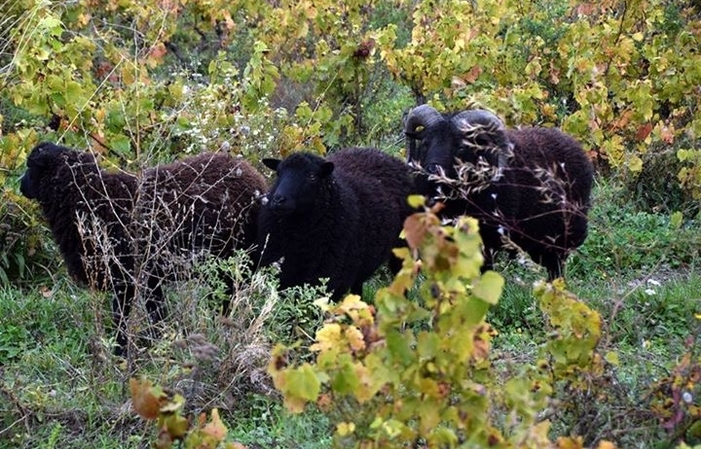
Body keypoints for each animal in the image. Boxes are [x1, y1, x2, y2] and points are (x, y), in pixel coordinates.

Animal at [19, 142, 266, 352]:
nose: (20, 185)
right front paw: (160, 343)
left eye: (31, 166)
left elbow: (123, 317)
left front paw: (120, 352)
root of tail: (256, 179)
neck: (93, 198)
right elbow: (156, 313)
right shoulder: (148, 278)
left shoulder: (125, 278)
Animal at [402, 106, 592, 280]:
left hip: (561, 237)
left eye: (460, 147)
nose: (432, 170)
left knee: (556, 268)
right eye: (425, 142)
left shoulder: (487, 241)